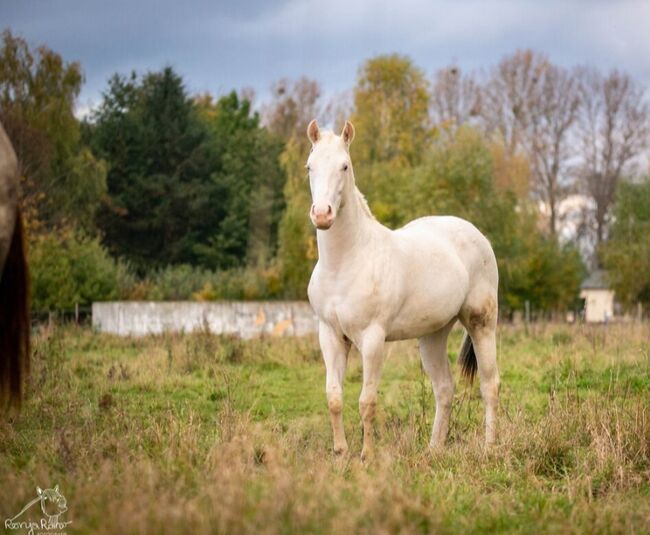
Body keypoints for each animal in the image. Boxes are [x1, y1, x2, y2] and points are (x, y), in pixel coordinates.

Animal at [306, 120, 498, 460]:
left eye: (345, 166)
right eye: (309, 166)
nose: (322, 214)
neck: (345, 263)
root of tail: (478, 235)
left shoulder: (372, 339)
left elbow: (367, 401)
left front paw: (367, 455)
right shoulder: (330, 335)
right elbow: (334, 397)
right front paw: (340, 452)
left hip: (482, 324)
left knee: (489, 385)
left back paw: (489, 448)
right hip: (433, 335)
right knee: (444, 389)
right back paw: (433, 450)